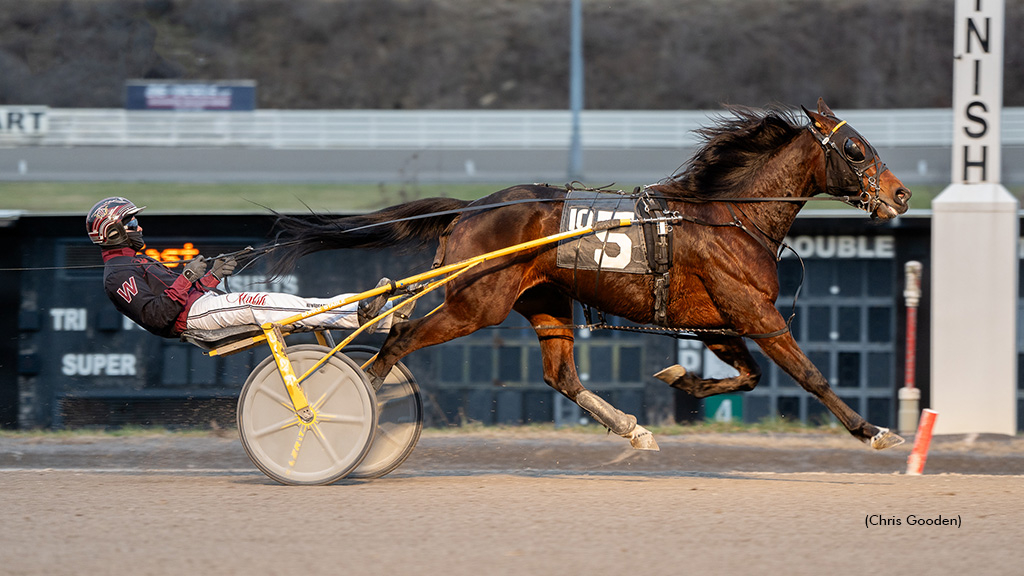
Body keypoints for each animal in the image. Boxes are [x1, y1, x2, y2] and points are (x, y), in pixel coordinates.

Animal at [266, 98, 913, 448]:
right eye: (855, 149)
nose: (902, 195)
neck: (729, 216)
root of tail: (471, 209)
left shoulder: (720, 321)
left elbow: (748, 378)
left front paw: (681, 378)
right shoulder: (756, 312)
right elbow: (811, 376)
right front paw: (873, 431)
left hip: (545, 300)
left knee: (560, 375)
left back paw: (630, 428)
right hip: (476, 303)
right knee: (396, 341)